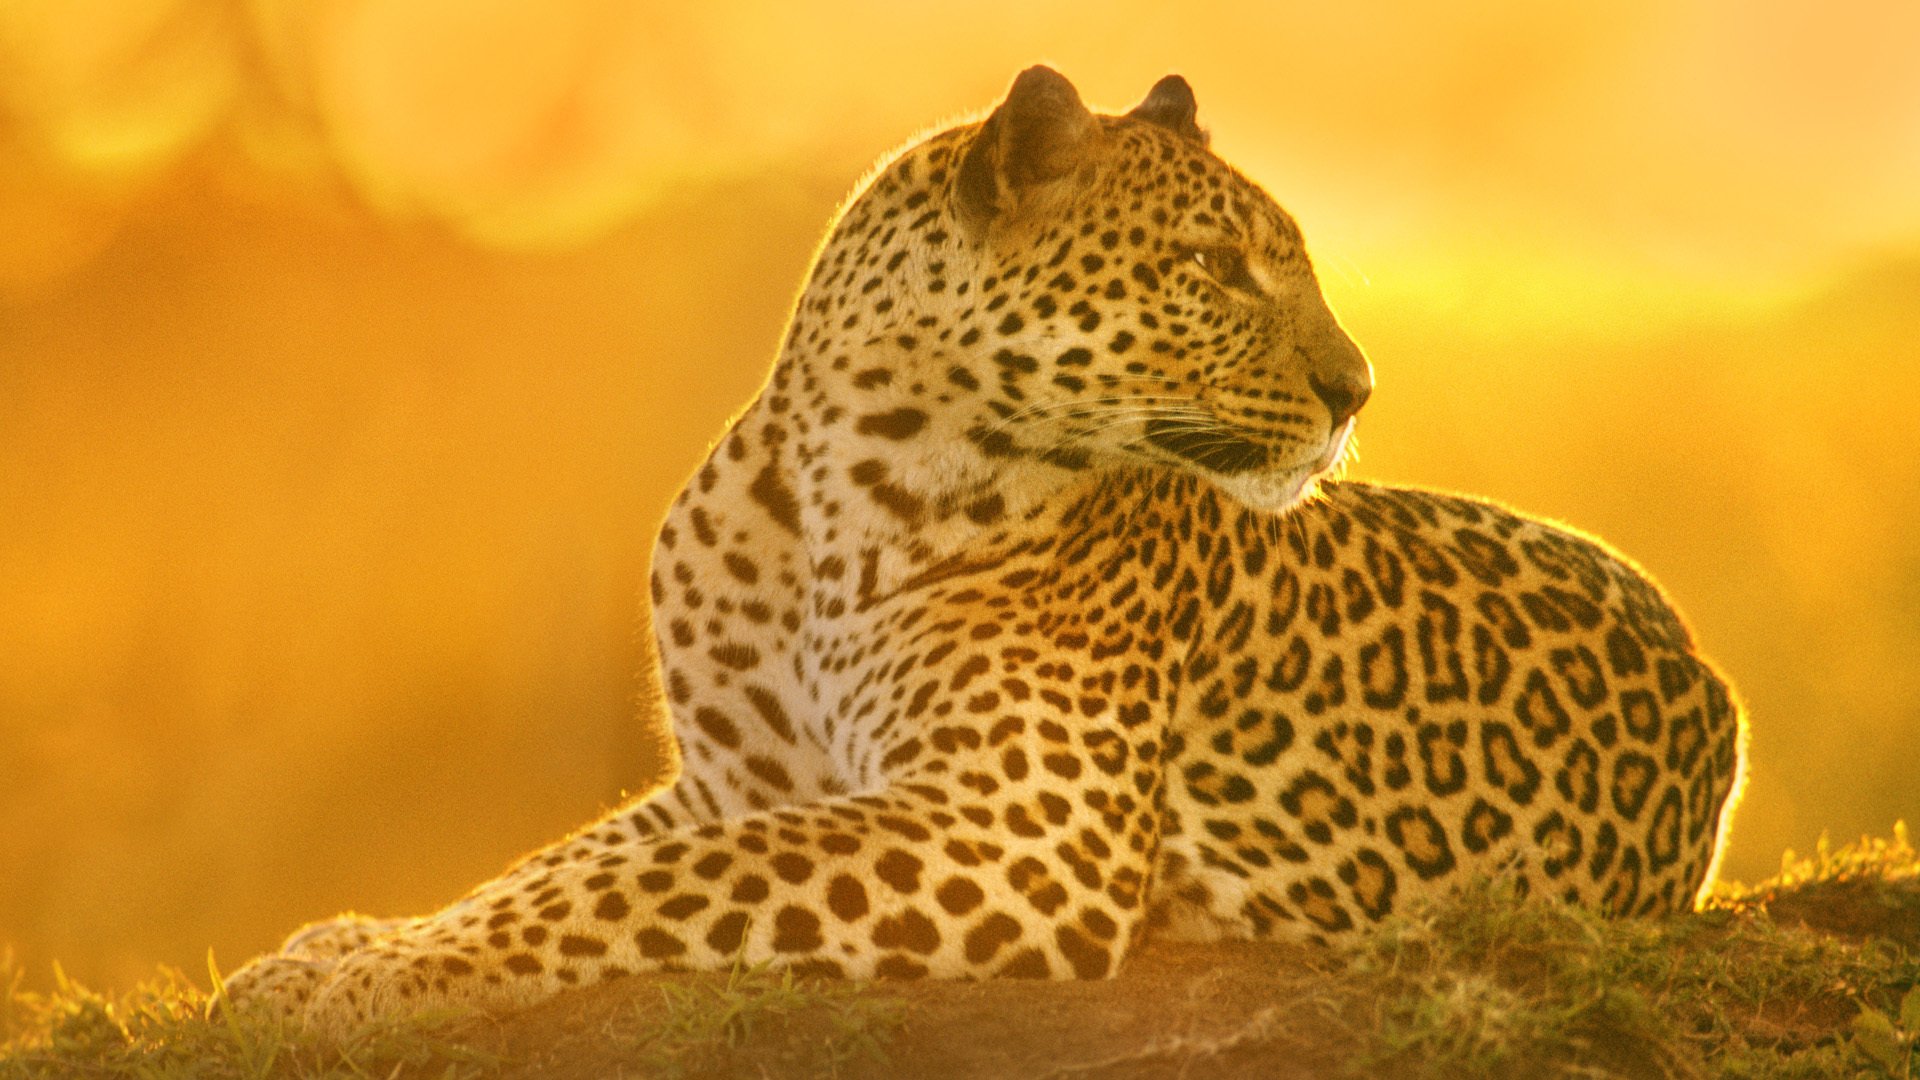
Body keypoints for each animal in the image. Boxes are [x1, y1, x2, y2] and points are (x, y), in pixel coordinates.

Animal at [222, 66, 1746, 1034]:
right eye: (1217, 267)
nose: (1357, 388)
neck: (826, 498)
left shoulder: (1019, 829)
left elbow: (635, 885)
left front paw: (364, 985)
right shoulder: (734, 780)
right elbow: (554, 867)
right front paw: (342, 948)